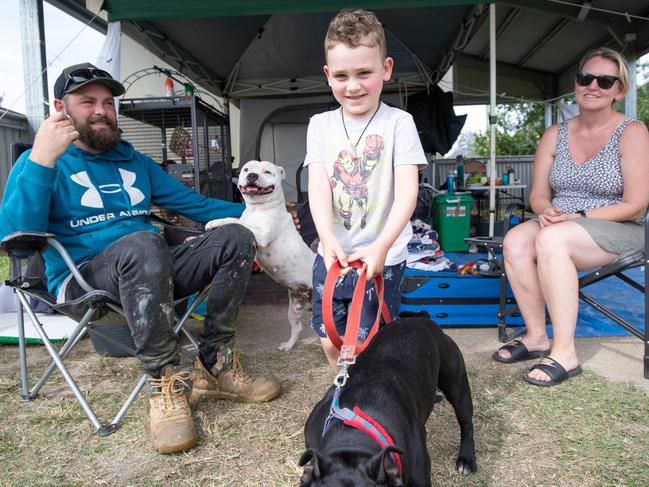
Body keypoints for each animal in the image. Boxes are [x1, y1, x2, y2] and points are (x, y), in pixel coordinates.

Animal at [202, 160, 314, 350]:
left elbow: (237, 222)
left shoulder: (260, 235)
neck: (256, 209)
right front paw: (203, 230)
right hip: (295, 305)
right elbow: (235, 220)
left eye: (267, 172)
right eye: (246, 169)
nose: (252, 175)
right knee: (297, 327)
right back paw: (287, 346)